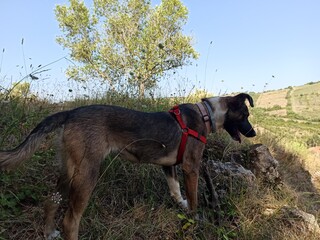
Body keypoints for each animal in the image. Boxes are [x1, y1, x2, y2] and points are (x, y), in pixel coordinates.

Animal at [0, 93, 255, 239]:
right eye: (244, 114)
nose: (252, 133)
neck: (206, 114)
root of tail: (71, 112)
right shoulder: (190, 167)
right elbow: (193, 198)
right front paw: (195, 219)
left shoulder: (169, 166)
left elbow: (175, 191)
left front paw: (181, 207)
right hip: (87, 173)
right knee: (70, 221)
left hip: (68, 170)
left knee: (51, 201)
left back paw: (49, 232)